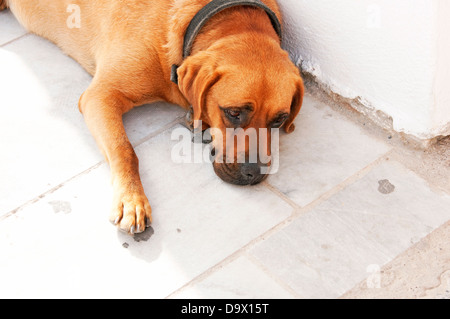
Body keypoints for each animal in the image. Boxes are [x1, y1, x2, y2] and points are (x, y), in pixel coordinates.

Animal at [2, 0, 302, 235]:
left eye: (279, 120)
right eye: (233, 113)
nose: (255, 173)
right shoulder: (101, 96)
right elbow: (125, 150)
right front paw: (131, 199)